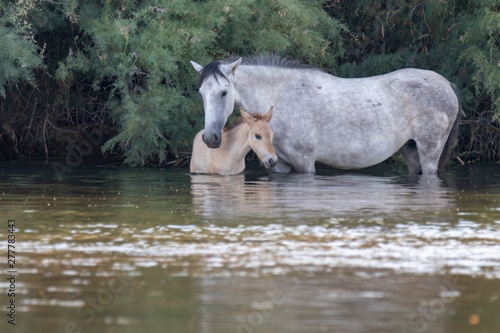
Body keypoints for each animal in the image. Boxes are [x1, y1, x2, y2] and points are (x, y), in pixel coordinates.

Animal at [190, 54, 460, 174]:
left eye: (224, 92)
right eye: (201, 92)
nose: (210, 138)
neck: (282, 97)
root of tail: (448, 84)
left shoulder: (304, 162)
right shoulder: (280, 163)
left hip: (429, 151)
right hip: (410, 150)